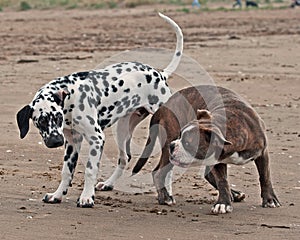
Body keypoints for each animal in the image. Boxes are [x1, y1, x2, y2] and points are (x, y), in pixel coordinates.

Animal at [17, 13, 184, 207]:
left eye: (57, 117)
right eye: (41, 121)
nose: (55, 141)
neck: (70, 96)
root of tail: (160, 74)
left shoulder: (96, 139)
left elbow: (90, 170)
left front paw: (86, 197)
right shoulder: (72, 142)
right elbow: (66, 172)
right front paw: (57, 195)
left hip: (165, 132)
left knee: (168, 165)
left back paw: (168, 195)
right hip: (122, 130)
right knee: (124, 158)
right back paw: (109, 184)